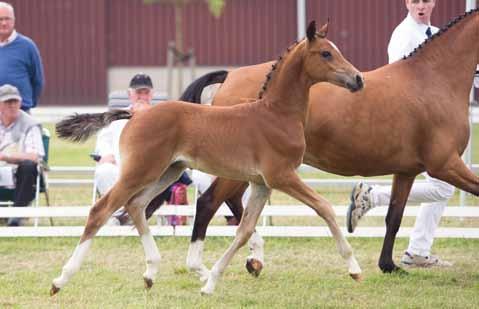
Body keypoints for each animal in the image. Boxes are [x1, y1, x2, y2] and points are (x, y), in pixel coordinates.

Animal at [51, 20, 364, 294]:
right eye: (326, 53)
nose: (358, 79)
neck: (276, 114)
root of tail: (136, 114)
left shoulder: (261, 183)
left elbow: (244, 230)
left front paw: (212, 281)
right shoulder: (282, 176)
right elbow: (324, 207)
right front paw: (354, 268)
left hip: (168, 171)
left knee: (136, 205)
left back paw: (152, 271)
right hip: (140, 171)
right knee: (101, 210)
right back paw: (60, 280)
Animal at [184, 9, 479, 276]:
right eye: (326, 53)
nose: (357, 79)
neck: (433, 79)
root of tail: (229, 76)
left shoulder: (407, 171)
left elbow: (394, 217)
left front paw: (388, 265)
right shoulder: (444, 166)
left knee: (232, 202)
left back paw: (253, 259)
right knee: (211, 201)